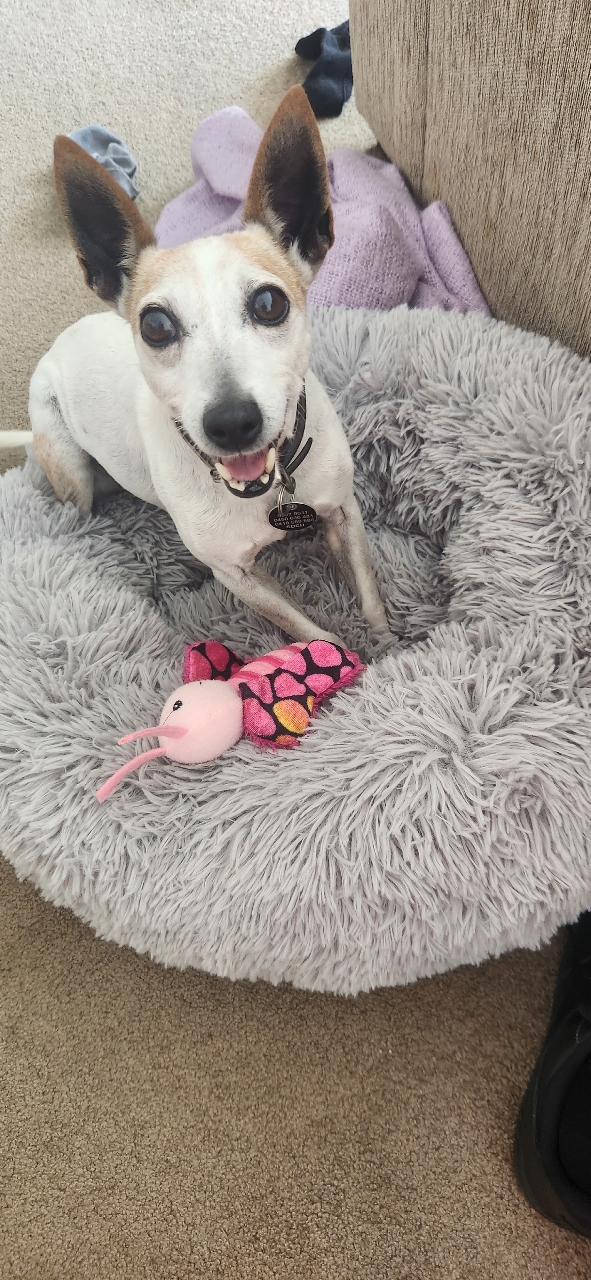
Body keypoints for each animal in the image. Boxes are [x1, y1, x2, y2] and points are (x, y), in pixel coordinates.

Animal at [29, 87, 388, 644]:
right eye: (156, 324)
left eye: (269, 304)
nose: (233, 422)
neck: (268, 492)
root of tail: (57, 344)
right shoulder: (237, 575)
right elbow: (311, 633)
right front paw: (343, 660)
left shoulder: (344, 511)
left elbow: (369, 596)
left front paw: (390, 643)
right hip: (67, 463)